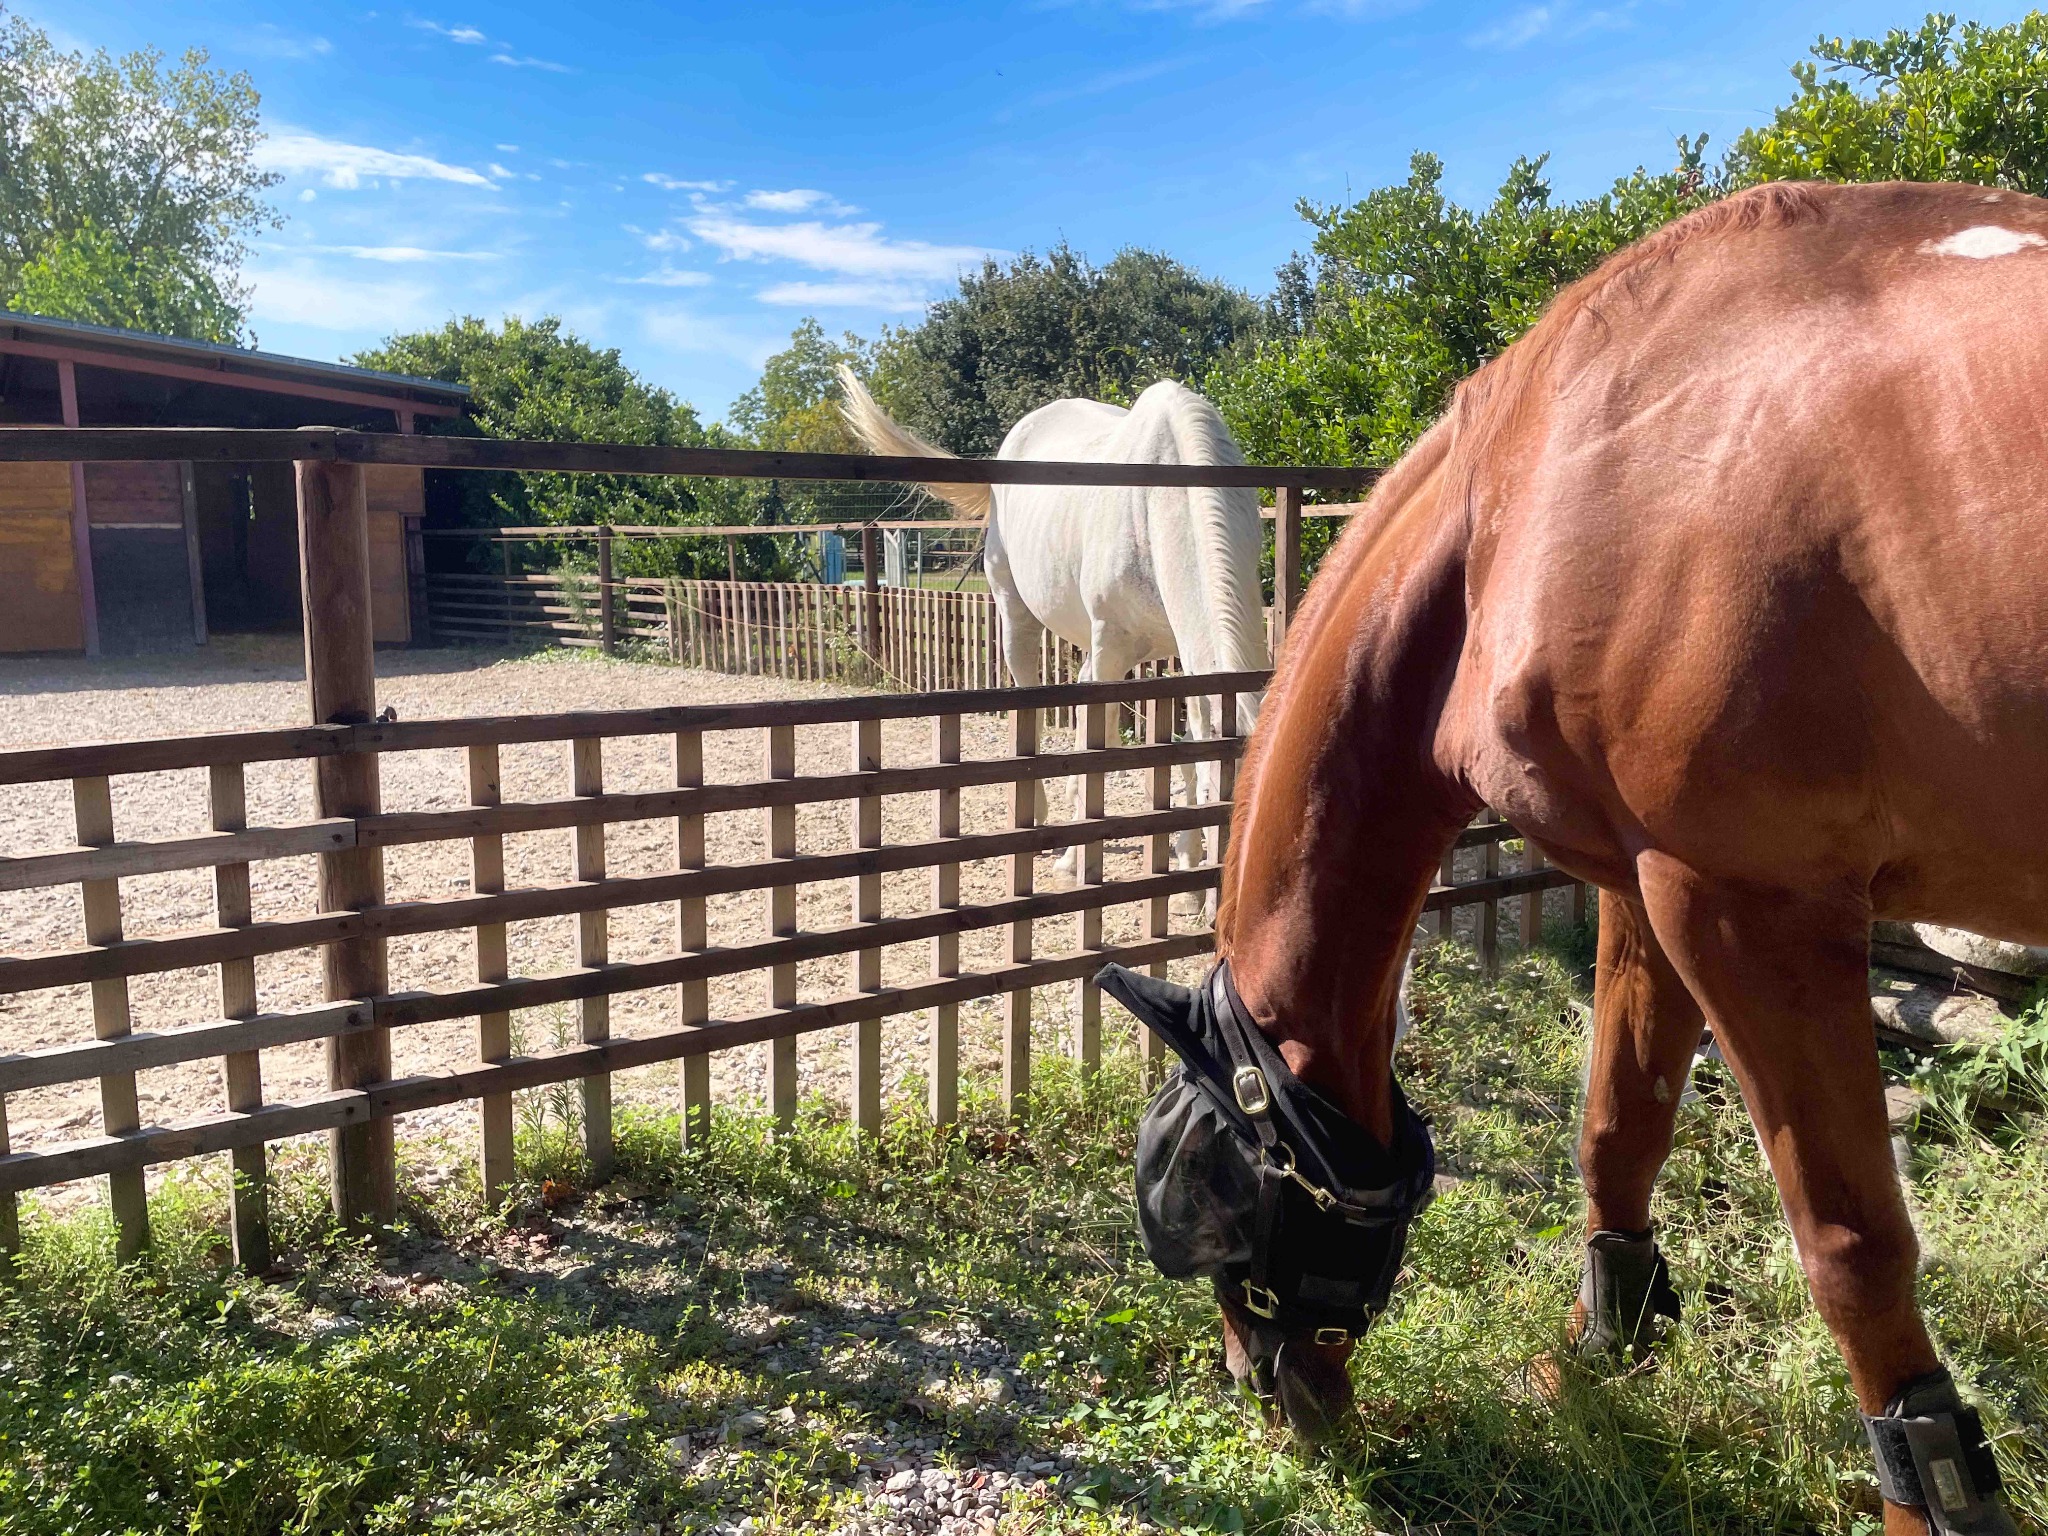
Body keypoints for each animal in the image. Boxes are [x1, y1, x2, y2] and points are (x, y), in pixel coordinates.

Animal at [836, 368, 1268, 882]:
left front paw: (1184, 856)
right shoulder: (1111, 651)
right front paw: (1080, 858)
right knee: (1032, 704)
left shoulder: (1191, 656)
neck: (1162, 499)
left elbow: (1193, 736)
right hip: (1015, 615)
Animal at [1130, 180, 2046, 1536]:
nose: (1268, 1387)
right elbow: (1619, 1125)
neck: (1541, 484)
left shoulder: (1749, 909)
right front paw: (1599, 1348)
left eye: (1214, 1195)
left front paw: (1925, 1489)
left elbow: (1850, 1249)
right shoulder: (1648, 884)